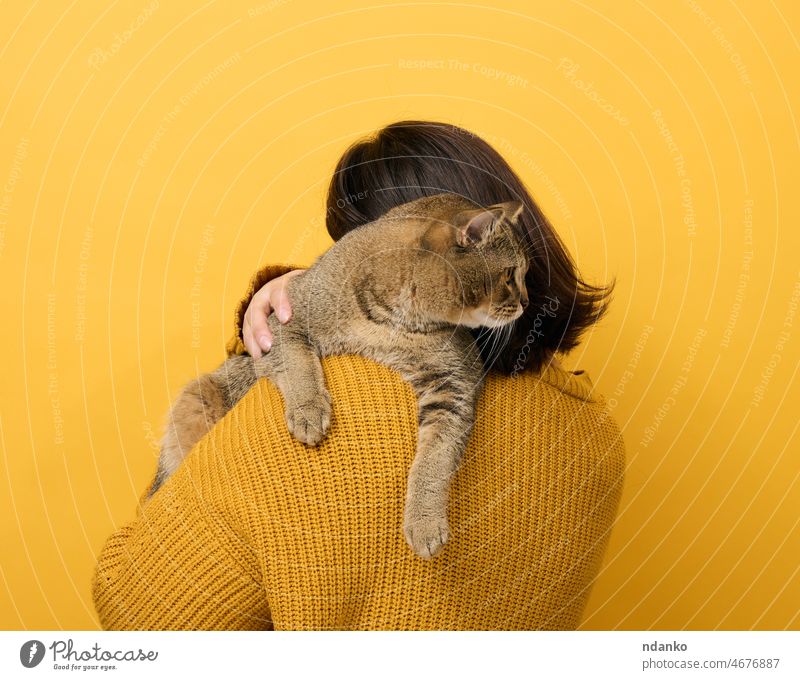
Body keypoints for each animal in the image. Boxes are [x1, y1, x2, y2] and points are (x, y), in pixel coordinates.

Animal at [150, 193, 528, 556]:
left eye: (522, 274)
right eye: (510, 275)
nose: (526, 302)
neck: (396, 317)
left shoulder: (455, 381)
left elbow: (436, 458)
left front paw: (424, 521)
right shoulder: (283, 324)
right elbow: (300, 365)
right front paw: (309, 412)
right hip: (197, 398)